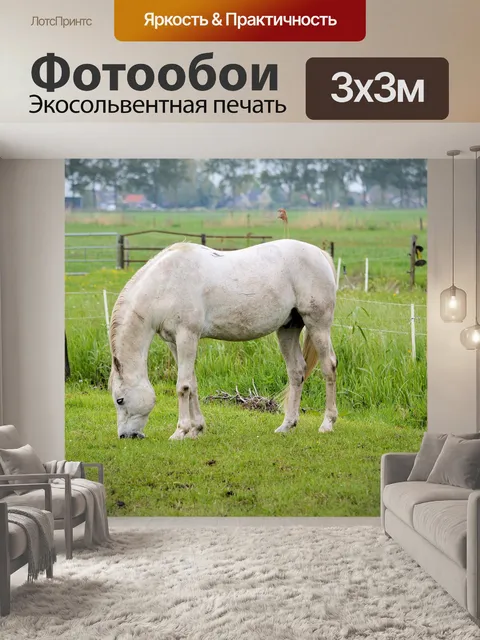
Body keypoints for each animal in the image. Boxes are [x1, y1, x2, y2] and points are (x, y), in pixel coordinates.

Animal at [108, 239, 338, 440]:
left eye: (120, 400)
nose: (125, 436)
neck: (165, 283)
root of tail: (320, 254)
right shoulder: (174, 342)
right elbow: (192, 384)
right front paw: (196, 429)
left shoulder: (187, 337)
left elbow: (183, 386)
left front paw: (180, 431)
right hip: (288, 329)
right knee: (296, 372)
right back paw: (287, 425)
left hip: (318, 324)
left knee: (329, 367)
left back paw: (327, 424)